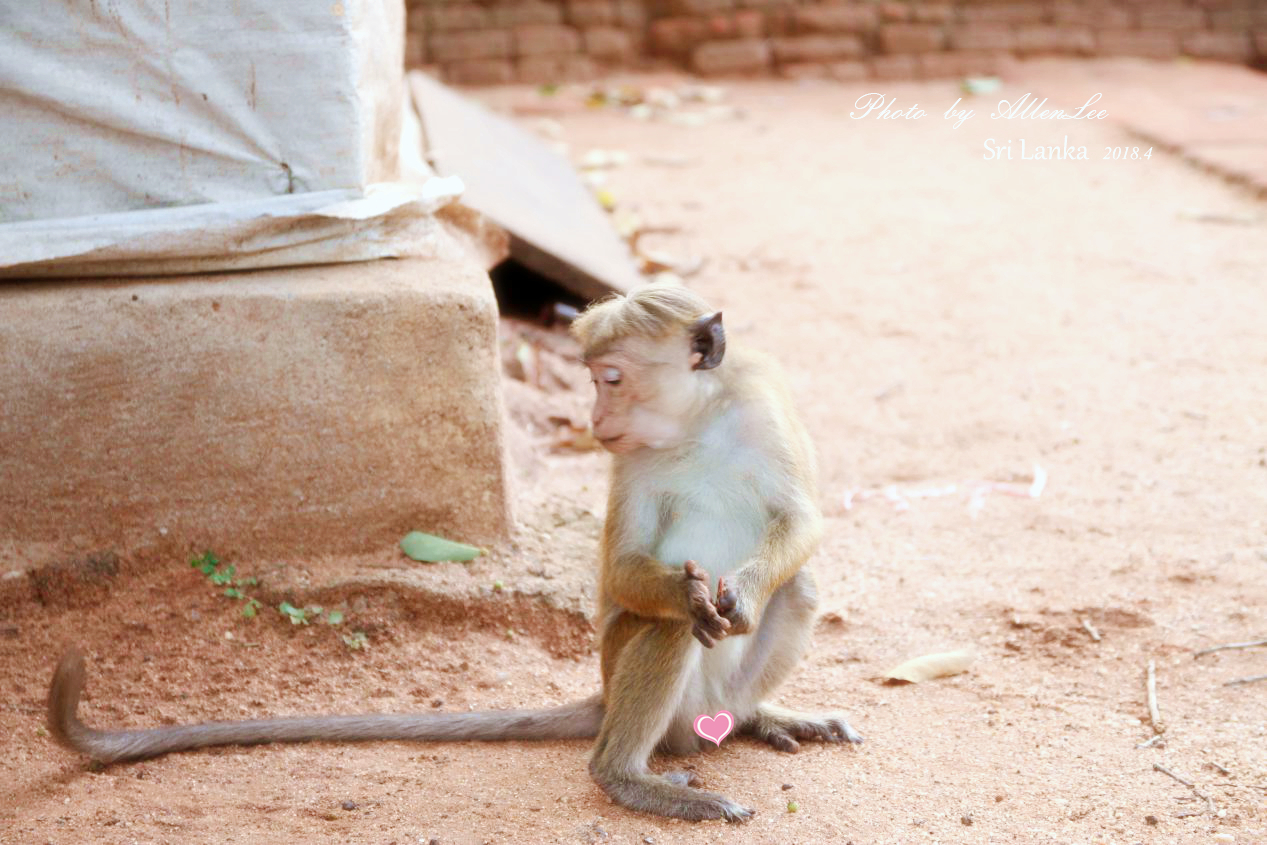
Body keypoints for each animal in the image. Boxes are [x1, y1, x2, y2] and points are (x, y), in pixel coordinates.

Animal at [46, 282, 861, 820]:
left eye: (611, 378)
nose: (592, 418)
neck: (693, 427)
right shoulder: (628, 462)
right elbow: (626, 571)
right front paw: (691, 594)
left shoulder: (761, 403)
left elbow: (801, 521)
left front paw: (741, 592)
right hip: (662, 702)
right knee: (667, 627)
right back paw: (626, 776)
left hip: (714, 699)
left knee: (801, 586)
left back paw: (757, 715)